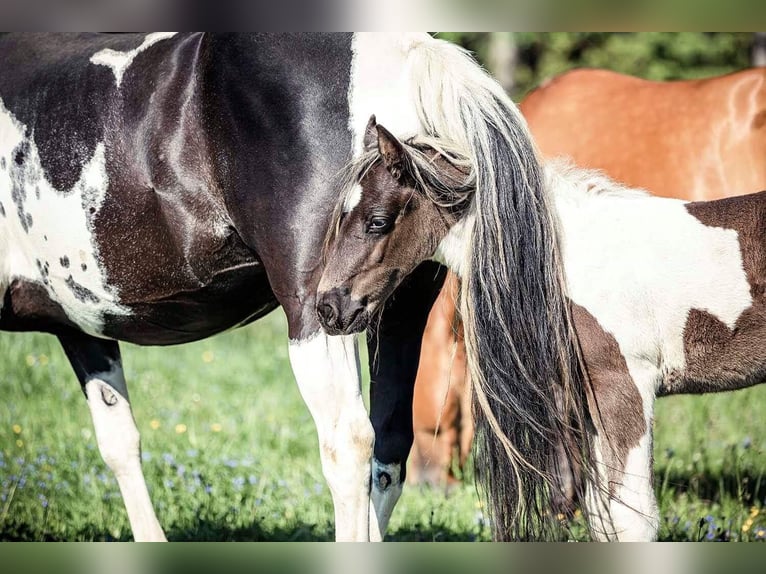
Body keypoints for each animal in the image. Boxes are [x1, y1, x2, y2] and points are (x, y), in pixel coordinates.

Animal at [0, 32, 510, 544]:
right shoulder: (84, 324)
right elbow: (120, 440)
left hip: (320, 316)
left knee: (348, 444)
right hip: (388, 312)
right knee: (388, 451)